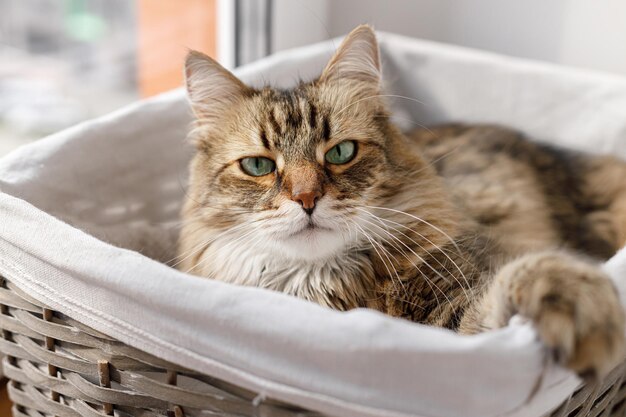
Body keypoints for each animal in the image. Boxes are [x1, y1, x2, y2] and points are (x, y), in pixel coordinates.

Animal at [176, 25, 624, 376]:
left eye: (341, 153)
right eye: (258, 165)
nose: (306, 198)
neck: (322, 284)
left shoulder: (462, 309)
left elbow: (523, 276)